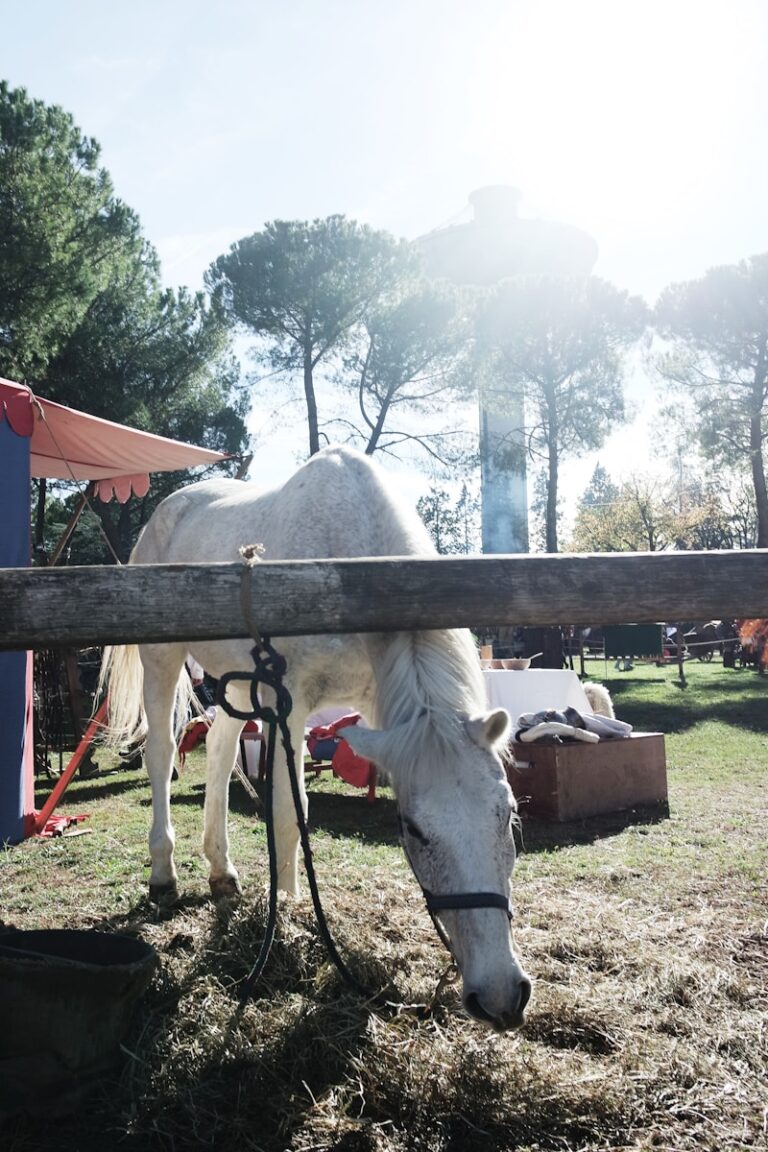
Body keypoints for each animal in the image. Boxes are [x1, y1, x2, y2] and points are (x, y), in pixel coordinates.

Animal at [101, 444, 531, 1032]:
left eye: (508, 816)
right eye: (414, 831)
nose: (501, 996)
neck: (349, 566)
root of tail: (168, 508)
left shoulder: (375, 702)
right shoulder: (291, 705)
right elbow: (289, 813)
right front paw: (288, 912)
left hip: (237, 679)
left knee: (220, 750)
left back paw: (221, 870)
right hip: (162, 661)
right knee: (162, 756)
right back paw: (163, 873)